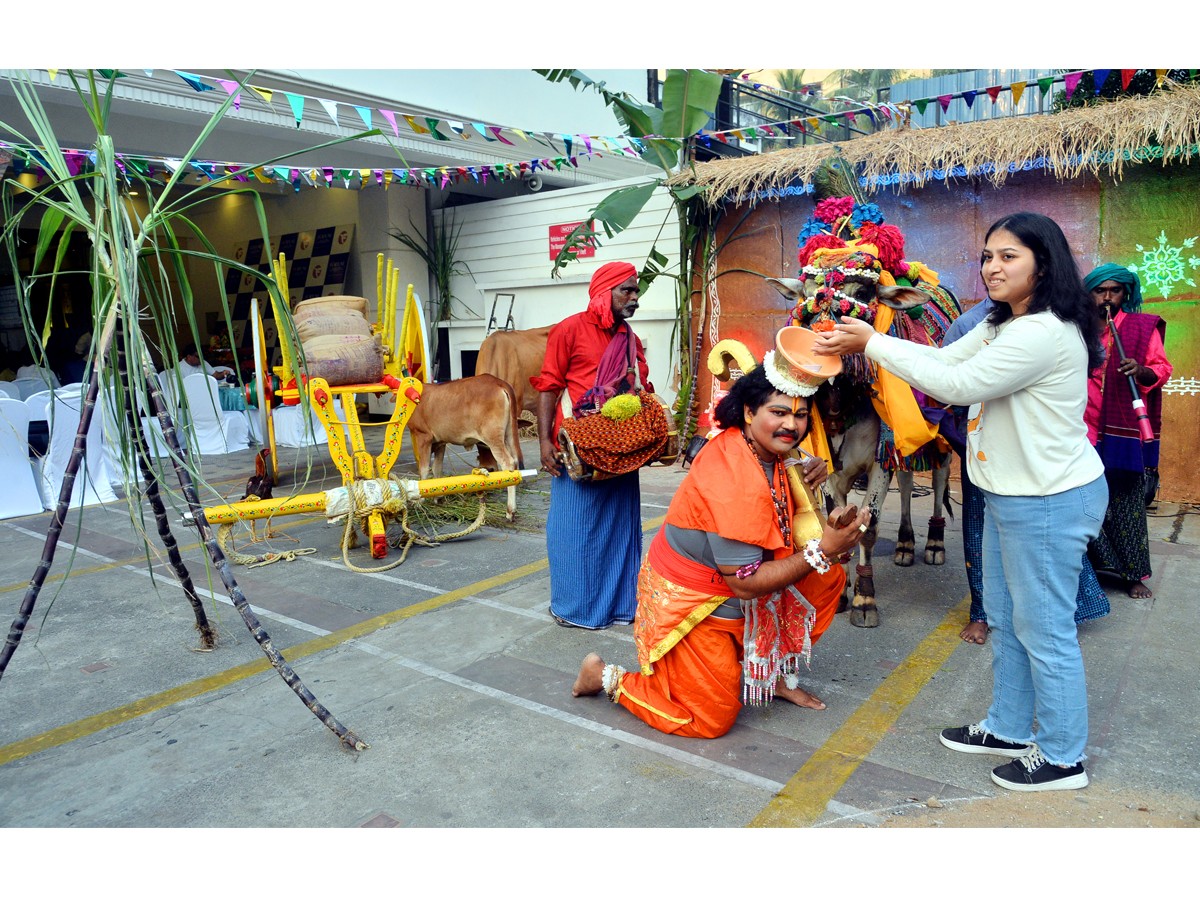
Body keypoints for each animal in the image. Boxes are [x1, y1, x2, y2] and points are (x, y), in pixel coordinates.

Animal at [408, 374, 525, 520]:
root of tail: (498, 382)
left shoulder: (423, 437)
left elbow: (424, 469)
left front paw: (419, 502)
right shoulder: (440, 442)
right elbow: (437, 468)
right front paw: (438, 498)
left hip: (493, 438)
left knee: (508, 463)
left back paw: (510, 511)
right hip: (509, 434)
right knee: (515, 461)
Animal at [763, 196, 960, 628]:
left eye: (863, 290)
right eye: (808, 291)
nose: (820, 336)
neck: (843, 399)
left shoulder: (877, 461)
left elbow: (867, 528)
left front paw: (864, 599)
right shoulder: (831, 466)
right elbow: (836, 519)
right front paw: (840, 591)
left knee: (938, 477)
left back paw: (934, 542)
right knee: (908, 481)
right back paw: (904, 543)